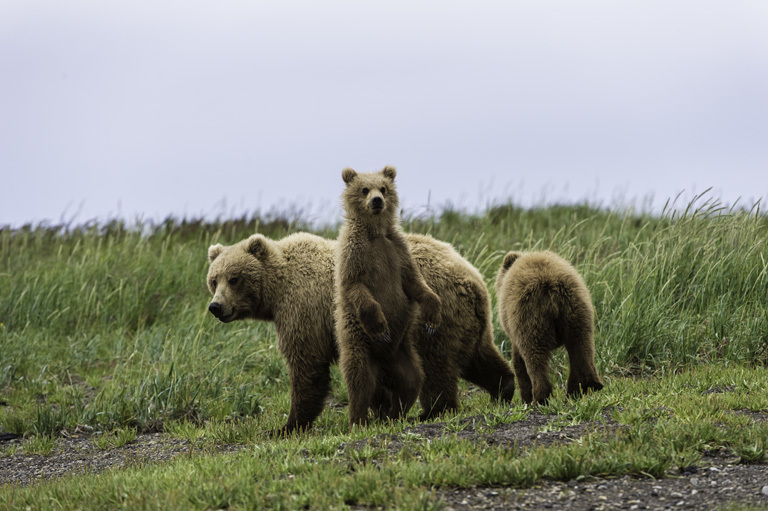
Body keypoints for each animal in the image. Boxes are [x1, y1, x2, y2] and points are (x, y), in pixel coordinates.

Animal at [207, 234, 512, 434]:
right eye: (213, 280)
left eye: (234, 278)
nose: (216, 306)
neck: (278, 290)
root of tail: (472, 277)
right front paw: (380, 409)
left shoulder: (304, 308)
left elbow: (307, 366)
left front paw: (287, 425)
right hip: (468, 322)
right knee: (477, 357)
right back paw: (504, 388)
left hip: (433, 320)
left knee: (436, 367)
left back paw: (432, 411)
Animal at [334, 166, 440, 426]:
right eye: (364, 189)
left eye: (383, 188)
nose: (377, 200)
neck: (375, 233)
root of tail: (383, 364)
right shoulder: (354, 254)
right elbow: (357, 287)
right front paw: (381, 327)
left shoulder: (398, 251)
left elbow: (415, 283)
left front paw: (432, 318)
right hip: (359, 342)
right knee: (360, 380)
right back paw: (359, 419)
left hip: (403, 352)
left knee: (412, 380)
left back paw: (394, 413)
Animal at [496, 250, 604, 406]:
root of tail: (553, 287)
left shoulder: (515, 328)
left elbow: (519, 362)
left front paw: (525, 398)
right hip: (577, 312)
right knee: (581, 347)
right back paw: (584, 387)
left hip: (530, 315)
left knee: (534, 356)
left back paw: (540, 398)